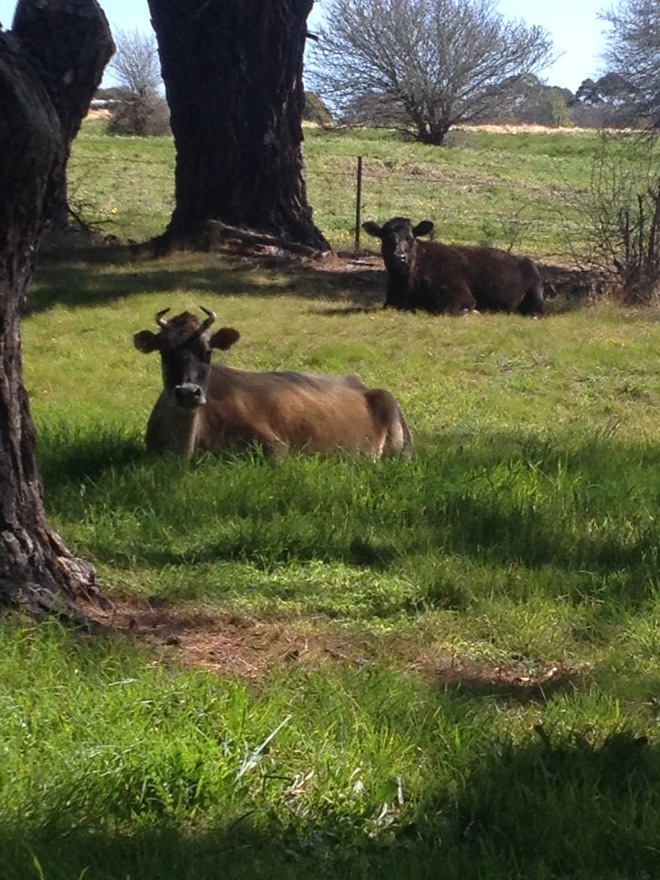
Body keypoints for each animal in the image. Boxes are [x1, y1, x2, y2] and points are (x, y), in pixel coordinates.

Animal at [133, 307, 413, 461]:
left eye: (208, 350)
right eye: (164, 351)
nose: (188, 393)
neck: (183, 449)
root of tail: (358, 381)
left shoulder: (275, 446)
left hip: (398, 438)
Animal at [362, 216, 544, 316]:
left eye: (410, 237)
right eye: (385, 238)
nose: (399, 257)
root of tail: (524, 259)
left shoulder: (462, 296)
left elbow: (443, 310)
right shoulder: (390, 301)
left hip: (535, 296)